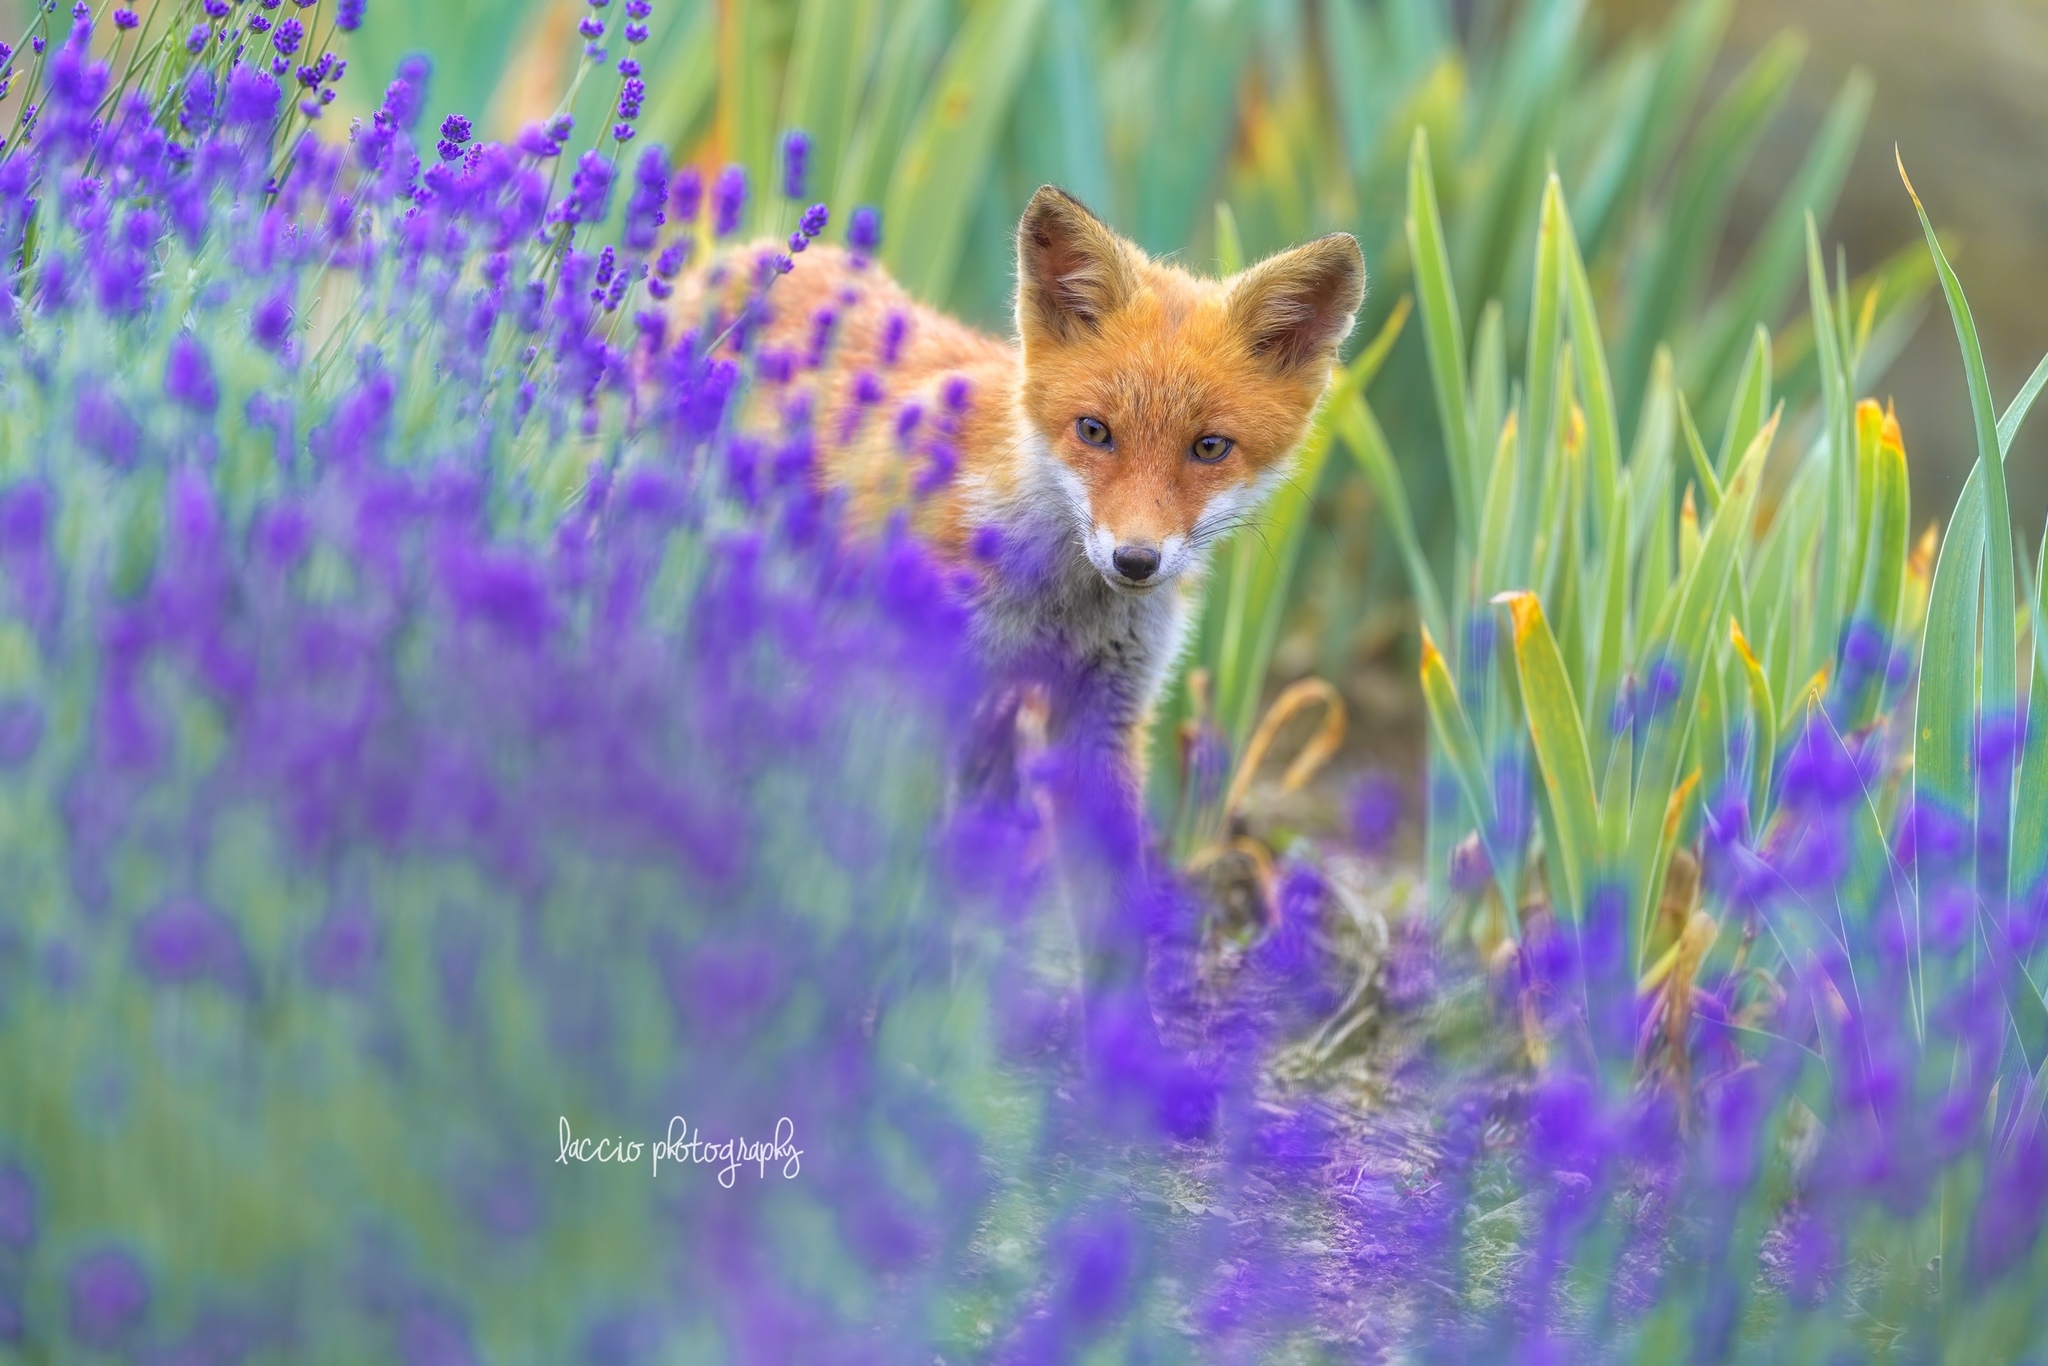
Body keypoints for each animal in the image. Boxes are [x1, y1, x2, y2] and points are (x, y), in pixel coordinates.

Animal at [679, 185, 1368, 774]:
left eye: (1209, 448)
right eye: (1094, 431)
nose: (1135, 560)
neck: (1063, 608)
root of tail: (748, 256)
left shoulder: (1110, 706)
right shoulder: (929, 685)